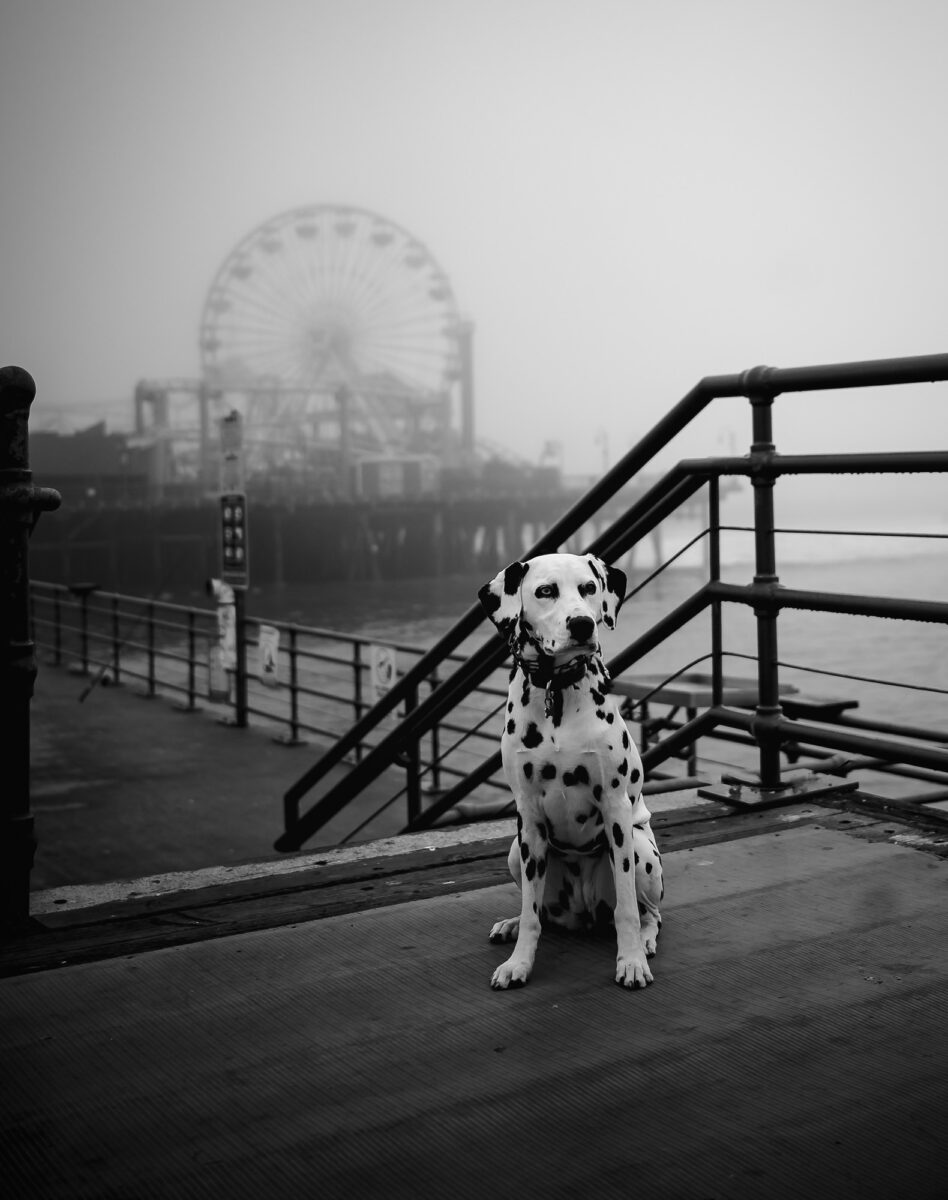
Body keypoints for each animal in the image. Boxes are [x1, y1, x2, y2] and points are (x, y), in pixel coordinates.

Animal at [480, 549, 662, 984]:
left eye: (589, 587)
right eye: (546, 591)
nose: (582, 624)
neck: (555, 690)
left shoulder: (615, 809)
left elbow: (627, 910)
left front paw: (631, 960)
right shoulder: (528, 818)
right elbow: (532, 913)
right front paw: (519, 962)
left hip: (641, 851)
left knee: (650, 912)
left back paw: (646, 941)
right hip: (515, 853)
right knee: (539, 911)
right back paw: (511, 924)